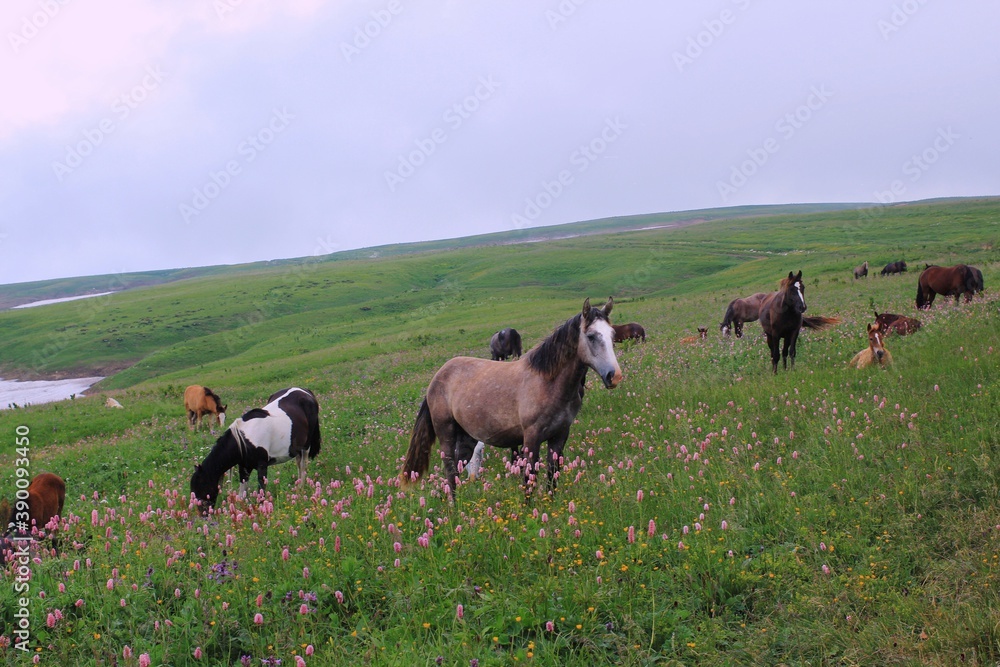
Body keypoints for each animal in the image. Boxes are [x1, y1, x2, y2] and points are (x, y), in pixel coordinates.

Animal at [190, 387, 321, 513]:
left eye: (202, 488)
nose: (204, 515)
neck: (244, 441)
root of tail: (306, 392)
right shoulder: (244, 467)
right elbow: (242, 494)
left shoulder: (262, 465)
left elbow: (261, 491)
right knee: (298, 464)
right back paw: (298, 486)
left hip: (305, 446)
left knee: (303, 465)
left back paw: (301, 488)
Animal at [401, 298, 622, 497]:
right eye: (591, 336)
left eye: (612, 334)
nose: (615, 376)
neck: (548, 383)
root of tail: (436, 378)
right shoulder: (531, 438)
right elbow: (530, 477)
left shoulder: (560, 435)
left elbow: (552, 475)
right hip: (446, 433)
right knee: (449, 470)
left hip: (467, 437)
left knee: (457, 468)